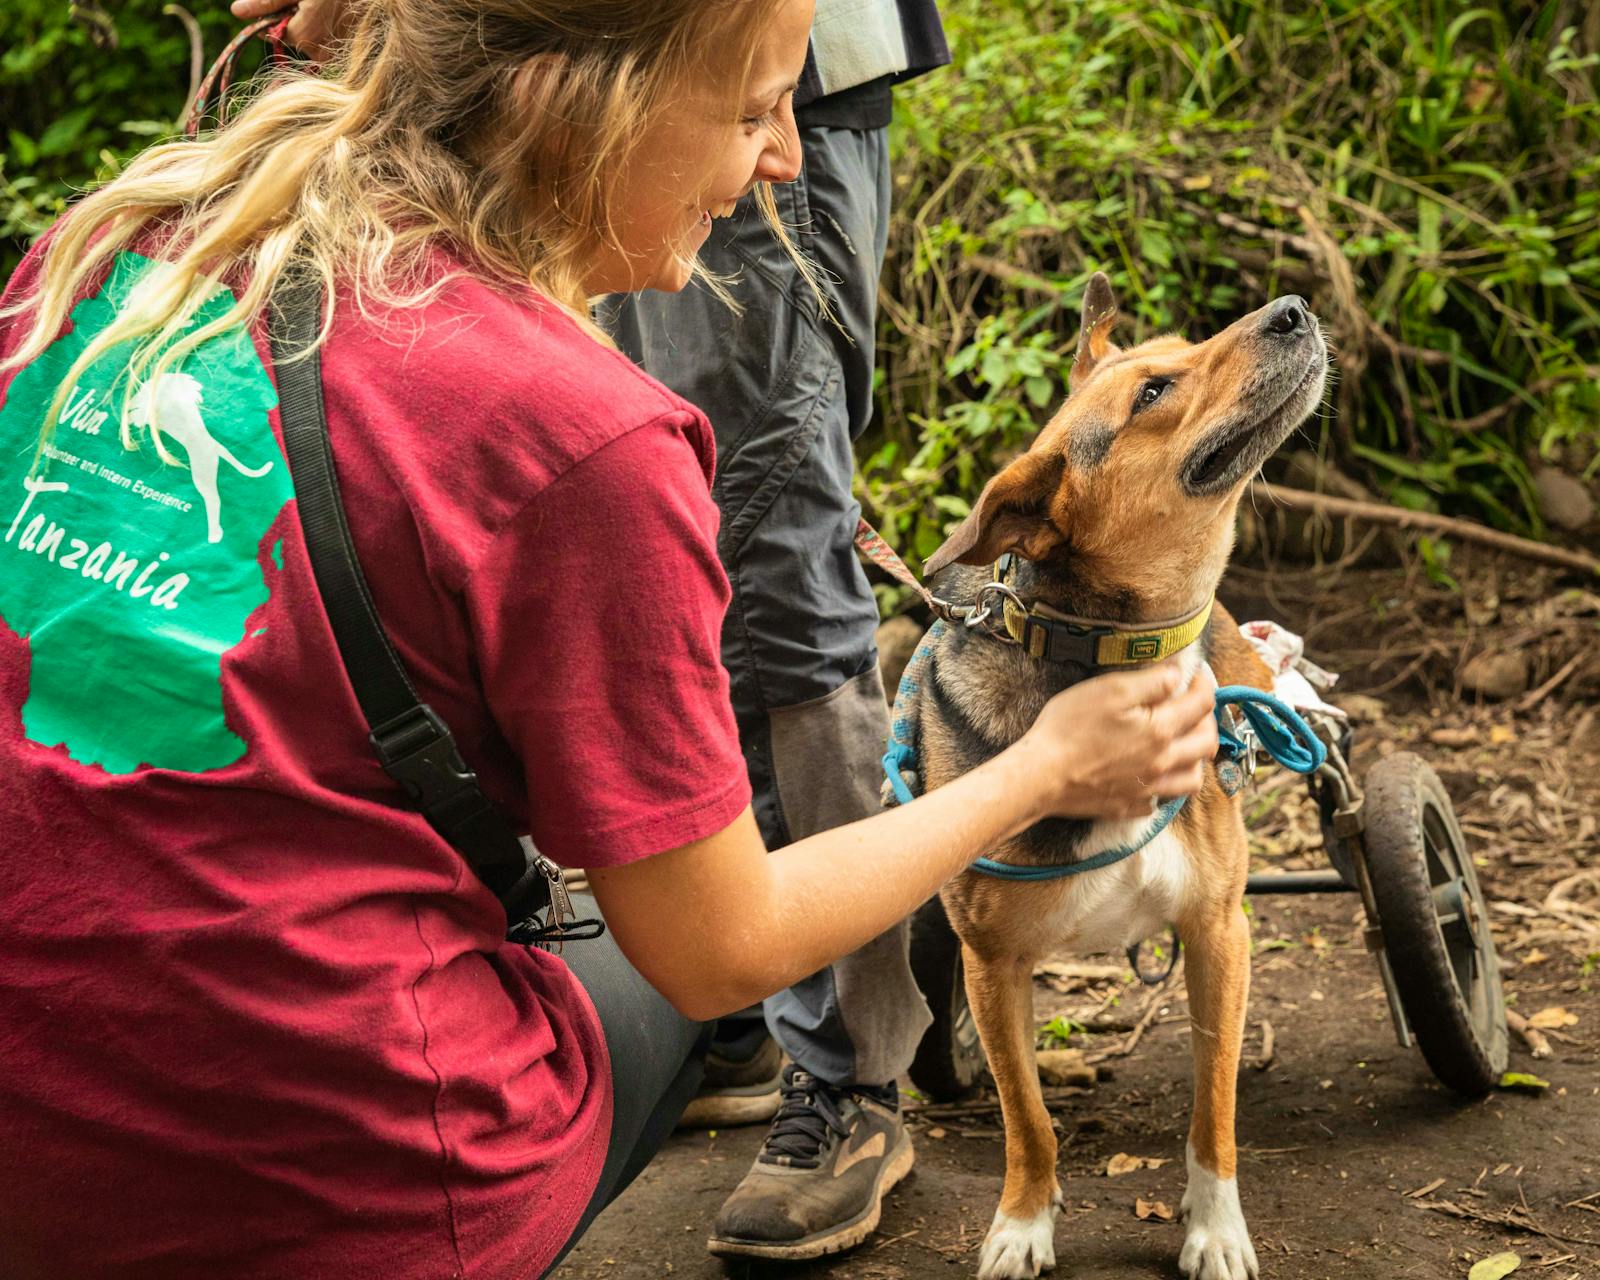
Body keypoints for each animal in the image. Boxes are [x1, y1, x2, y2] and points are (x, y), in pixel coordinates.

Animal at [915, 272, 1324, 1280]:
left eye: (1175, 350)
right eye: (1152, 394)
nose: (1293, 308)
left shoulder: (1220, 932)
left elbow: (1213, 1111)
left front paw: (1215, 1229)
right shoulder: (992, 967)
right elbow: (1027, 1117)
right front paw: (1023, 1224)